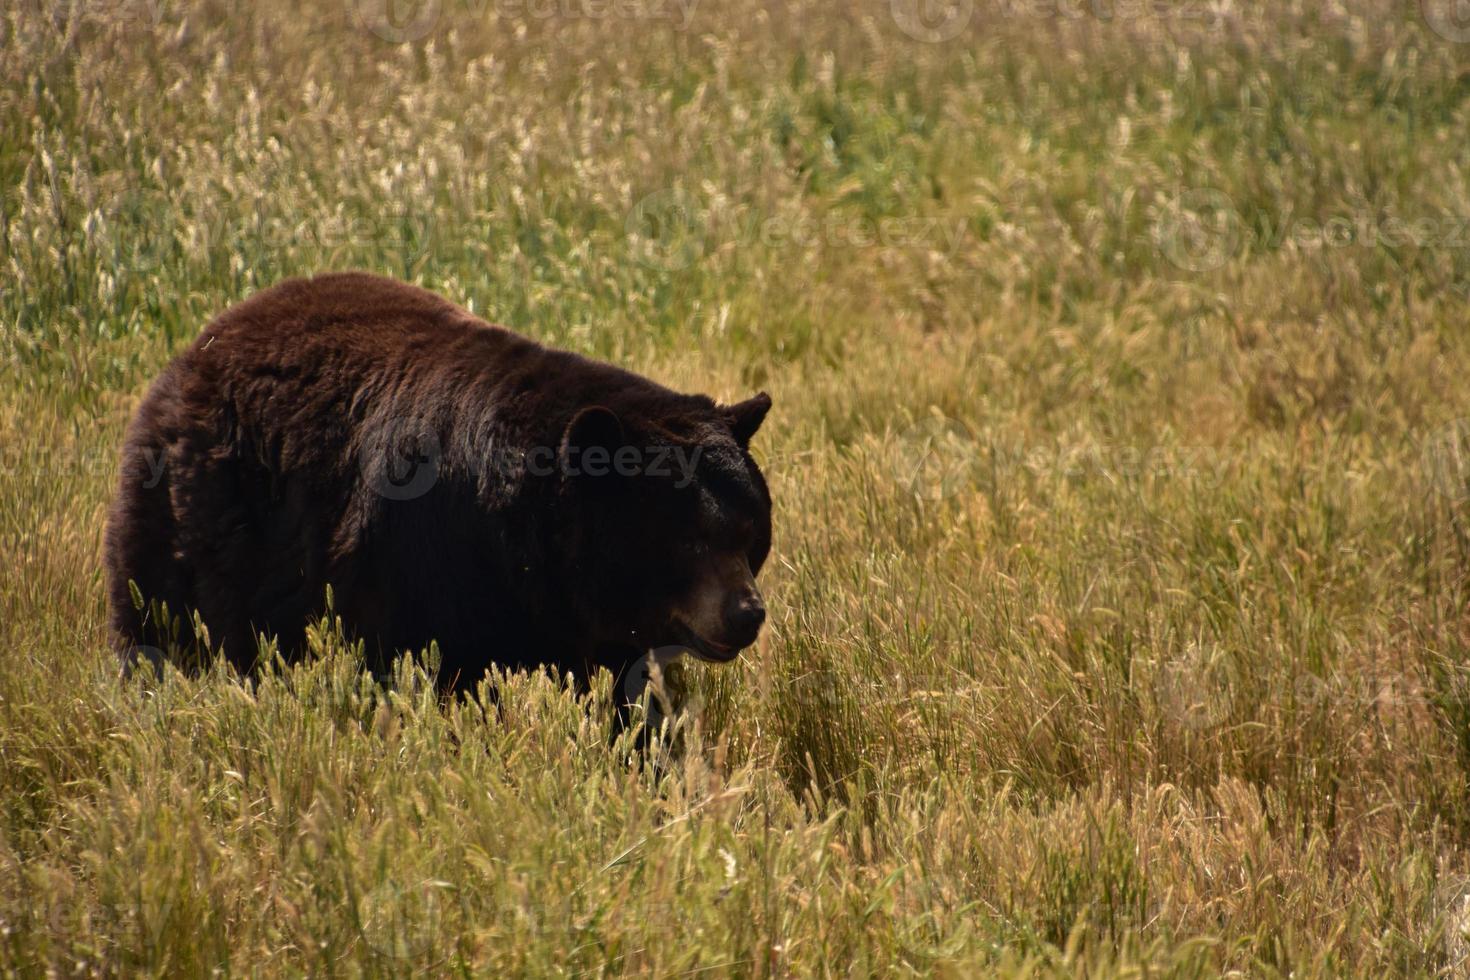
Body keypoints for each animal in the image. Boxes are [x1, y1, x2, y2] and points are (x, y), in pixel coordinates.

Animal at [102, 271, 770, 693]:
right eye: (686, 539)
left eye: (750, 533)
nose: (746, 613)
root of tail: (194, 350)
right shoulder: (421, 561)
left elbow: (629, 697)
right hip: (198, 521)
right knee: (163, 625)